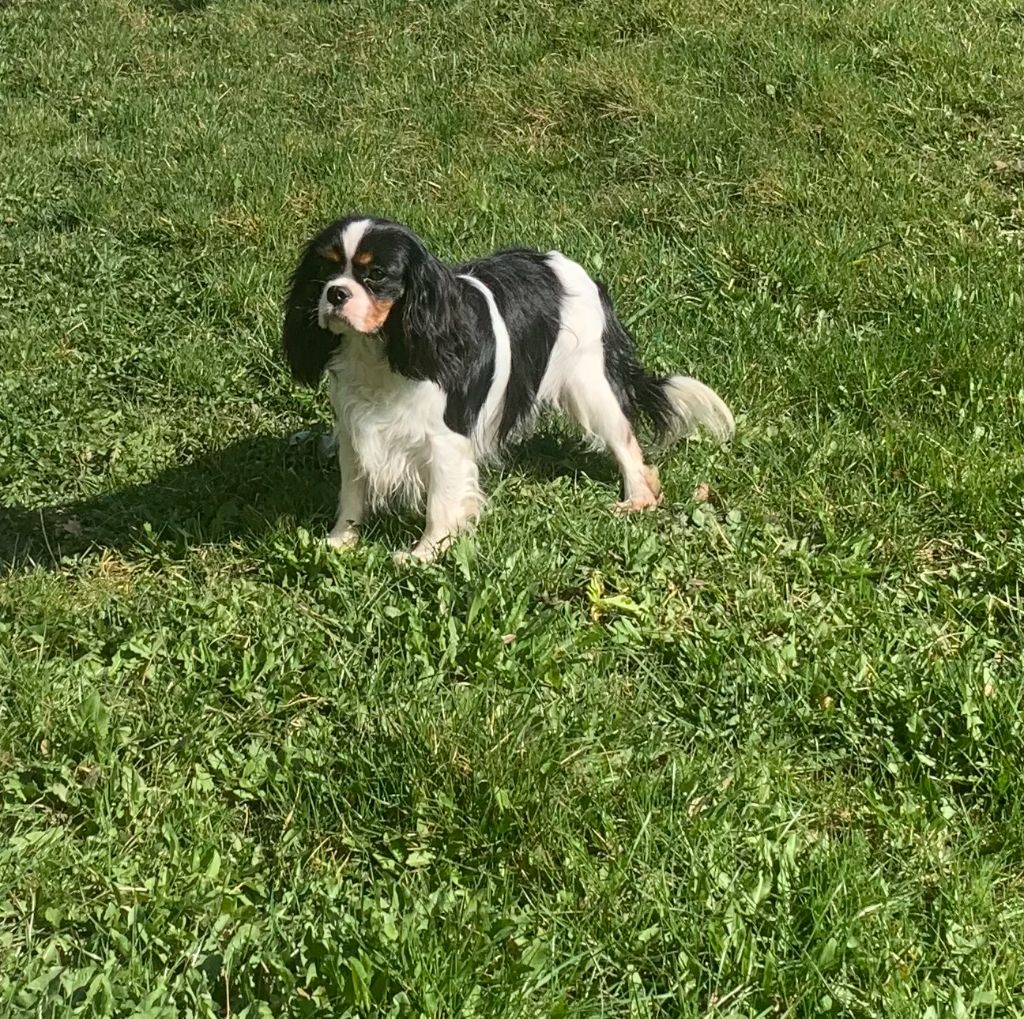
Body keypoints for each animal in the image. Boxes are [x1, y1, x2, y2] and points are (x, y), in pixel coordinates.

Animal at [278, 215, 737, 561]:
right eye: (324, 272)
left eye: (376, 275)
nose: (335, 294)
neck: (380, 351)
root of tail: (574, 269)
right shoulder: (355, 430)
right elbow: (352, 493)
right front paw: (339, 541)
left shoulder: (445, 441)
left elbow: (440, 502)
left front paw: (424, 553)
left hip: (589, 384)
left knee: (626, 442)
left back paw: (638, 497)